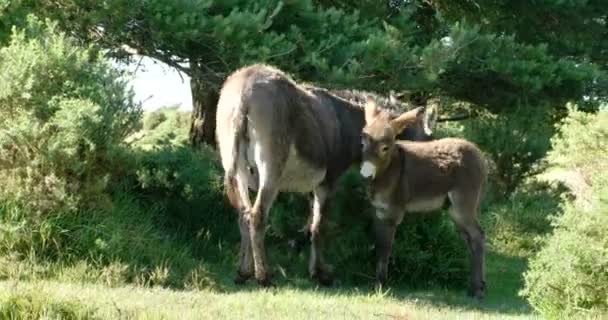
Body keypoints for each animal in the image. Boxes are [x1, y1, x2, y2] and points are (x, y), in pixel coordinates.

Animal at [360, 96, 490, 298]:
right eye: (363, 141)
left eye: (385, 147)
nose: (365, 174)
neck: (391, 169)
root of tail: (478, 153)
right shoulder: (378, 212)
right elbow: (378, 245)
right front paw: (377, 284)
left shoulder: (392, 214)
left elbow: (386, 248)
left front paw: (381, 286)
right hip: (454, 210)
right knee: (469, 237)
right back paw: (475, 286)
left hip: (463, 205)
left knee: (477, 236)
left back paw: (476, 290)